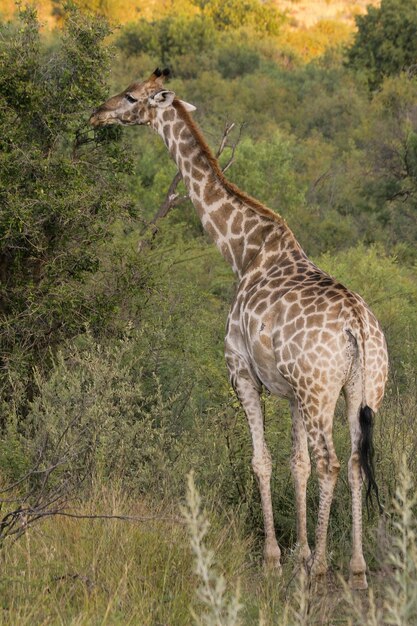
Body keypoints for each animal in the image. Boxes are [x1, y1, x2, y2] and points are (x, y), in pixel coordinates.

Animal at [90, 69, 386, 588]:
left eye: (130, 96)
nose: (96, 114)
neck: (242, 251)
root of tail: (357, 326)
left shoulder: (241, 372)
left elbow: (262, 461)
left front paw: (277, 559)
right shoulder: (289, 391)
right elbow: (296, 465)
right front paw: (299, 554)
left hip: (320, 390)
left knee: (331, 462)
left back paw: (324, 568)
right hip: (364, 389)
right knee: (354, 462)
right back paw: (356, 568)